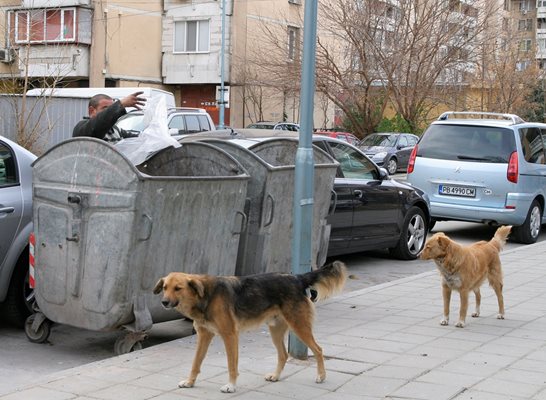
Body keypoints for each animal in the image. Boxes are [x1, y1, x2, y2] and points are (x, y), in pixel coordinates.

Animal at [153, 260, 346, 394]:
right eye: (165, 287)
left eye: (178, 288)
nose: (164, 302)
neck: (206, 296)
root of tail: (297, 278)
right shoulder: (204, 336)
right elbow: (195, 362)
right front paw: (190, 382)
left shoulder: (230, 335)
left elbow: (232, 365)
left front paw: (231, 386)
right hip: (276, 330)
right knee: (283, 355)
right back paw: (276, 376)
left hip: (299, 326)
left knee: (318, 349)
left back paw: (321, 376)